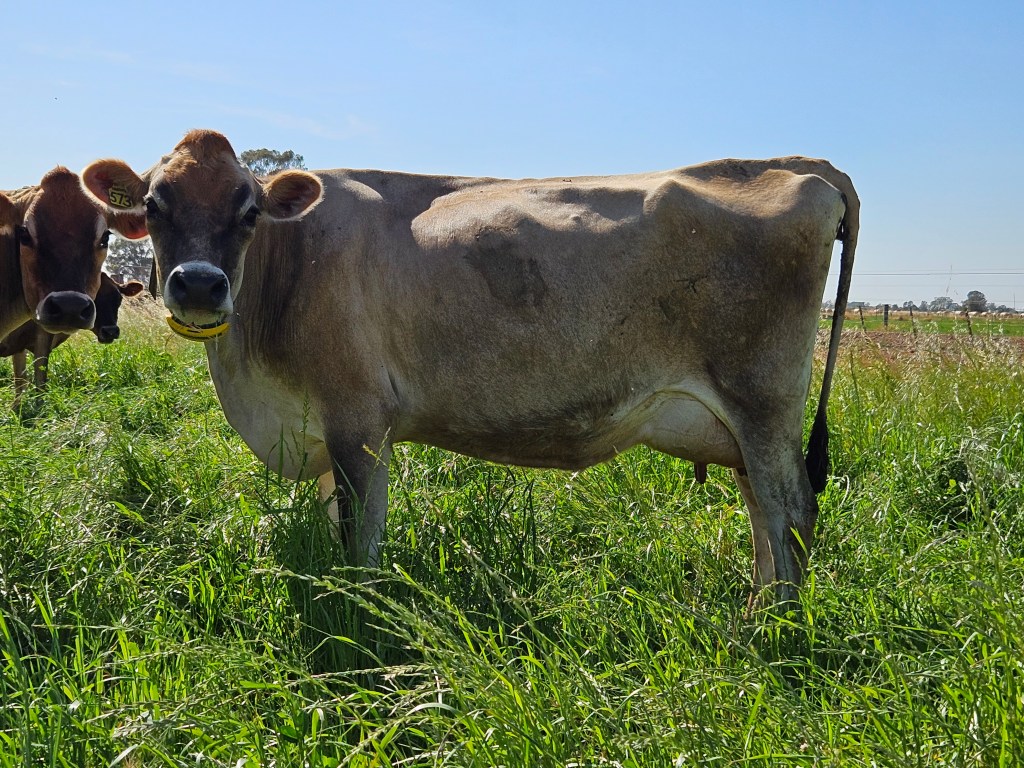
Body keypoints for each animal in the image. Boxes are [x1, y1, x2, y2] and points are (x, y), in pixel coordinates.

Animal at [0, 273, 144, 409]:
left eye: (119, 298)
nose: (111, 331)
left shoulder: (19, 346)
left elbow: (20, 380)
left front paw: (16, 409)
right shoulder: (42, 338)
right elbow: (39, 381)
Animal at [82, 130, 858, 608]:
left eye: (248, 210)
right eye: (154, 204)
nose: (198, 285)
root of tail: (799, 166)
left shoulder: (358, 421)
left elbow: (358, 540)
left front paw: (360, 618)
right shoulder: (322, 430)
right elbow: (333, 525)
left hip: (761, 402)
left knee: (791, 508)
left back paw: (775, 630)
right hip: (737, 424)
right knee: (762, 512)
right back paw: (756, 611)